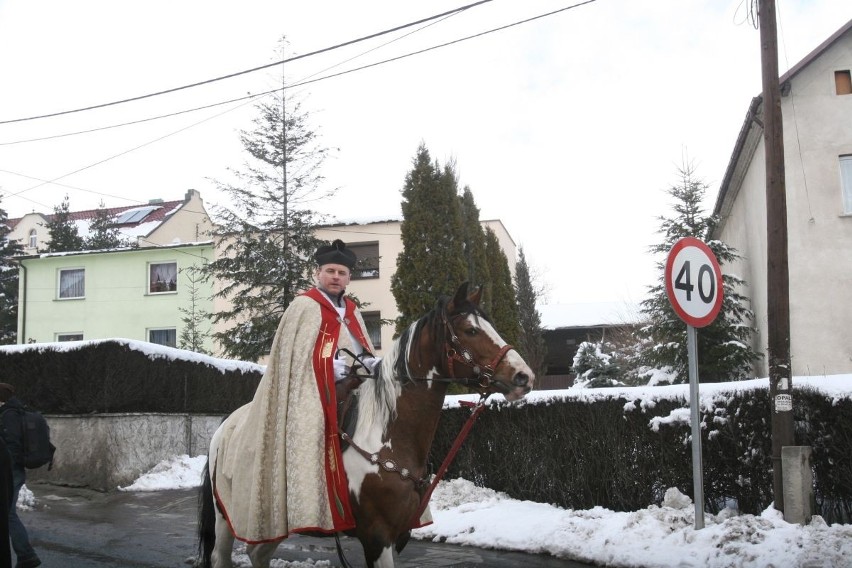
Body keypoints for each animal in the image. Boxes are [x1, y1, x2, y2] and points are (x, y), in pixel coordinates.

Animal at [196, 284, 536, 568]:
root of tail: (227, 424)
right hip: (227, 516)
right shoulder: (376, 536)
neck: (386, 436)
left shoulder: (396, 534)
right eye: (470, 330)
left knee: (259, 554)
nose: (524, 376)